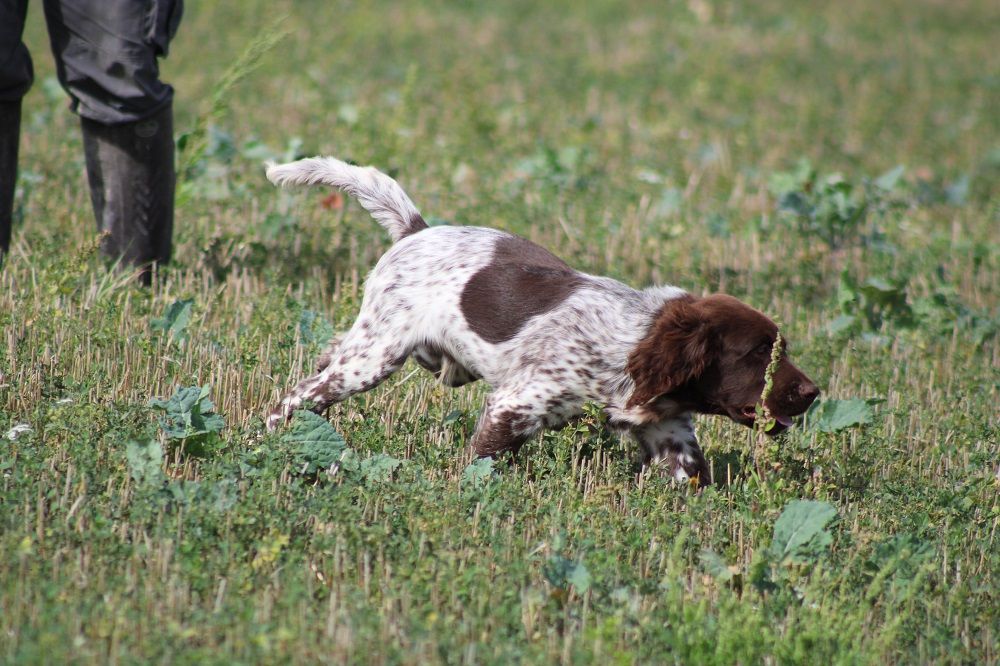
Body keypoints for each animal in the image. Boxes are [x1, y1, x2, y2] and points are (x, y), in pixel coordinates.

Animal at [262, 158, 816, 486]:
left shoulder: (669, 432)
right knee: (300, 394)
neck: (631, 341)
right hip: (375, 356)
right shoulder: (514, 406)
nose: (813, 394)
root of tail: (416, 231)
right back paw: (274, 439)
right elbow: (482, 463)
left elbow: (689, 477)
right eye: (757, 353)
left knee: (327, 356)